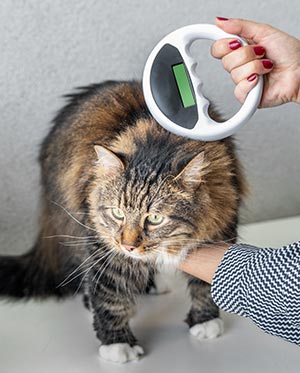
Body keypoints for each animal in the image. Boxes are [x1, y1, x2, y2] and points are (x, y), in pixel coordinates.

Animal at [0, 81, 246, 364]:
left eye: (155, 218)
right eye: (118, 213)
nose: (128, 245)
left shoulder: (221, 229)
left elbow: (205, 285)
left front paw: (205, 321)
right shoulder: (105, 247)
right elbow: (111, 297)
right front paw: (117, 344)